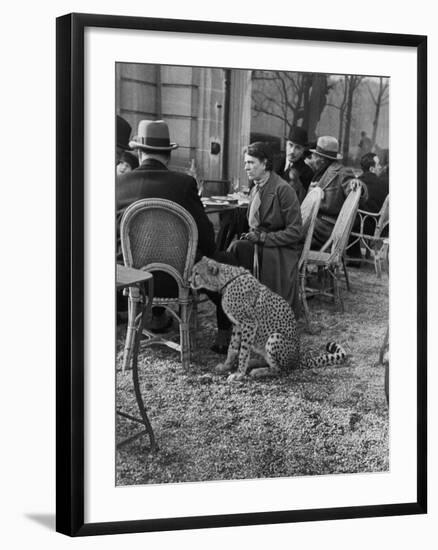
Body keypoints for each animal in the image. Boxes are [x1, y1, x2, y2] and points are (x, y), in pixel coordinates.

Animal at [190, 256, 348, 382]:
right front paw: (226, 366)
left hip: (275, 337)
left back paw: (259, 371)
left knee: (279, 370)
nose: (189, 281)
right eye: (193, 271)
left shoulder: (249, 323)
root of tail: (298, 359)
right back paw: (254, 362)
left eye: (197, 273)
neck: (227, 280)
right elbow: (233, 348)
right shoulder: (237, 324)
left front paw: (239, 373)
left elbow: (243, 351)